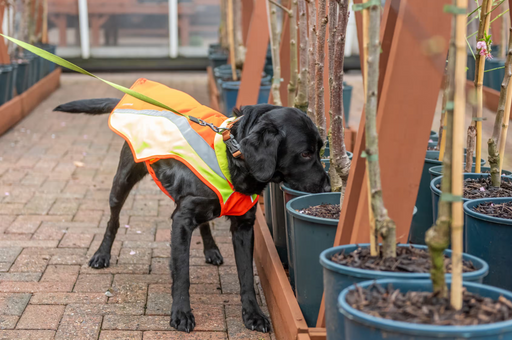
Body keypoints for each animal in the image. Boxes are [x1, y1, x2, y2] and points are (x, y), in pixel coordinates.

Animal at [54, 99, 330, 334]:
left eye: (320, 149)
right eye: (305, 153)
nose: (329, 187)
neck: (232, 156)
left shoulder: (244, 226)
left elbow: (246, 277)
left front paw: (253, 315)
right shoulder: (181, 221)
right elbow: (182, 273)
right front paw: (181, 314)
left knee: (205, 223)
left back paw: (211, 249)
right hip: (122, 181)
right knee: (114, 220)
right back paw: (101, 254)